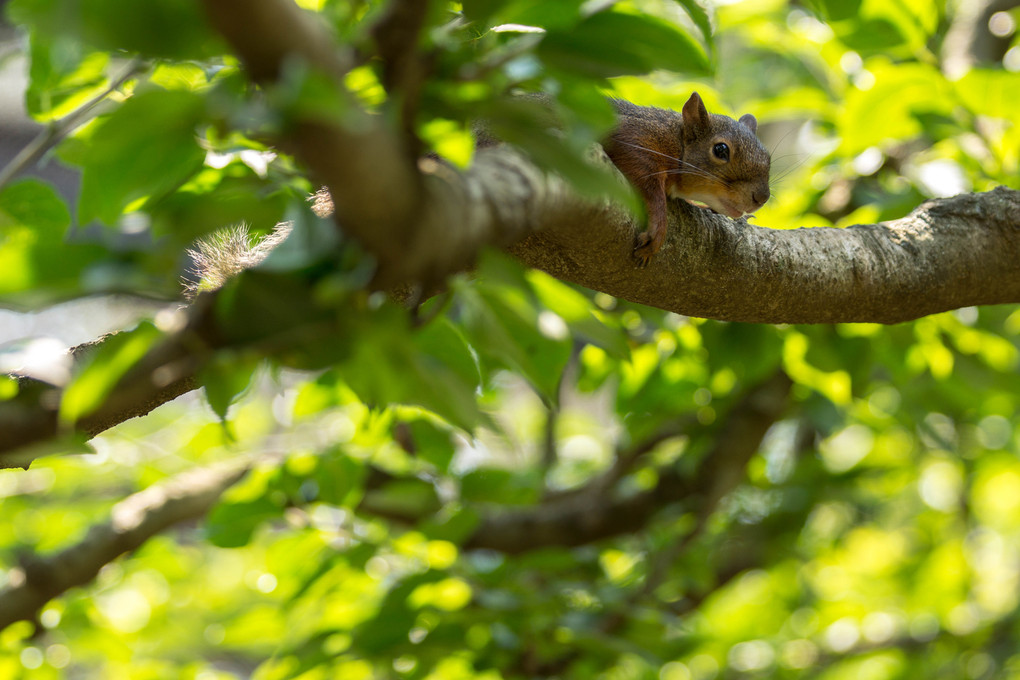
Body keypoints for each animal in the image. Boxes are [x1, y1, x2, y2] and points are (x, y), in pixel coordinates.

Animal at [599, 94, 767, 265]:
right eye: (720, 150)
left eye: (767, 155)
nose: (761, 198)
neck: (677, 141)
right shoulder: (633, 132)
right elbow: (649, 182)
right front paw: (658, 226)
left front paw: (704, 207)